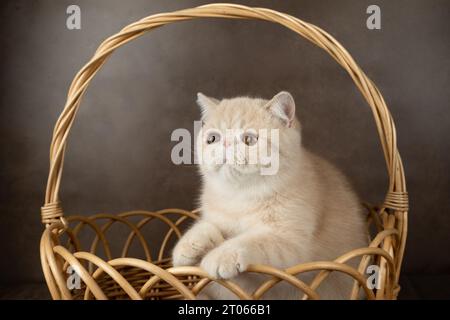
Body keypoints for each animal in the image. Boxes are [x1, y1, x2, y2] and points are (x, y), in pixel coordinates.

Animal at [171, 90, 368, 300]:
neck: (241, 196)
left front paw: (220, 255)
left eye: (249, 140)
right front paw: (187, 246)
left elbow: (252, 240)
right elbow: (207, 225)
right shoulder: (217, 216)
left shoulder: (293, 244)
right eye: (212, 138)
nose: (225, 143)